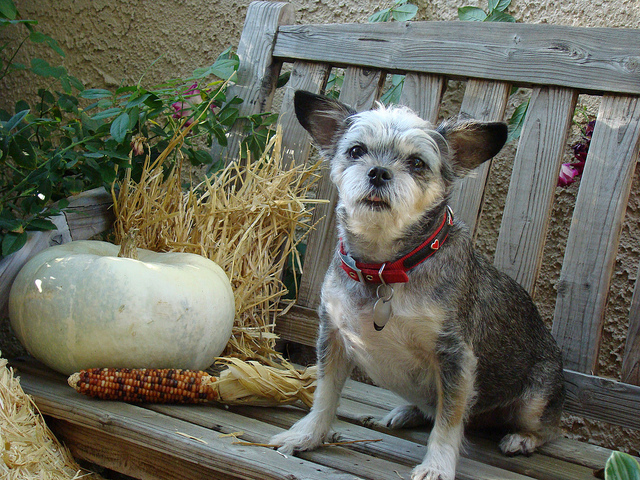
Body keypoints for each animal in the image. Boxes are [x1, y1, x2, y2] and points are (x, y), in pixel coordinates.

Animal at [271, 90, 565, 480]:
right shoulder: (332, 336)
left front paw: (437, 465)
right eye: (356, 151)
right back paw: (406, 412)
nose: (378, 172)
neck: (384, 267)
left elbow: (449, 420)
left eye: (417, 163)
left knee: (546, 429)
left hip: (533, 401)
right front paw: (306, 434)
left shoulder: (455, 357)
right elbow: (325, 395)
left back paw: (522, 438)